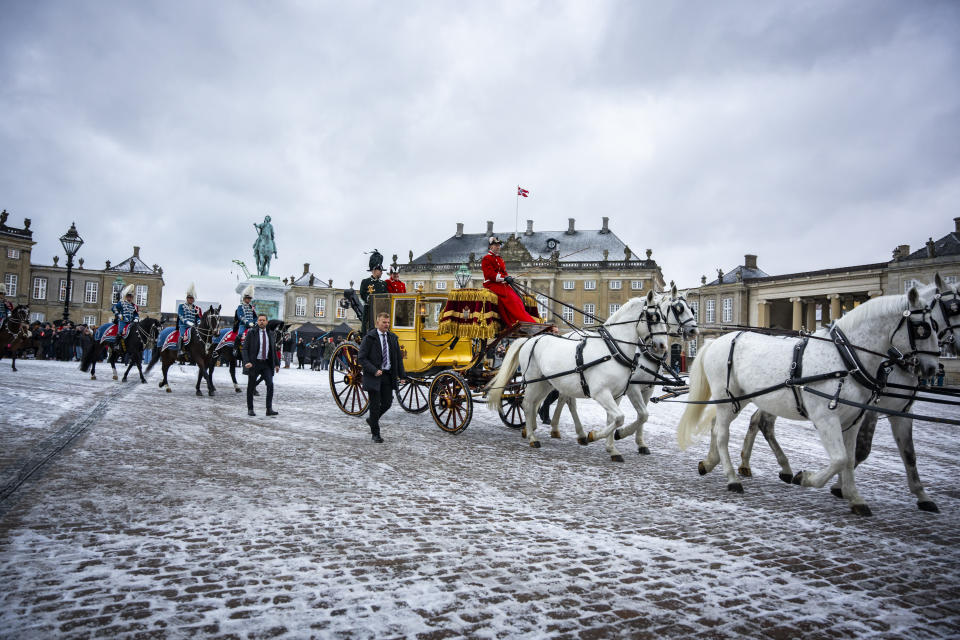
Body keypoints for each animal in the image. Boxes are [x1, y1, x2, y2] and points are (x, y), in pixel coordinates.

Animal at [488, 292, 668, 458]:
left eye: (665, 317)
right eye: (653, 317)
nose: (662, 346)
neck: (613, 351)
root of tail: (530, 339)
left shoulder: (617, 394)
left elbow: (615, 419)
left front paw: (612, 449)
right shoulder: (602, 392)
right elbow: (619, 418)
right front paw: (594, 435)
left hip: (546, 382)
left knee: (535, 403)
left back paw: (533, 430)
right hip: (533, 381)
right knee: (526, 404)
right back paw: (533, 437)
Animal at [540, 286, 696, 460]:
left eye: (692, 309)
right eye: (679, 309)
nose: (693, 330)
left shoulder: (646, 388)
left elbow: (642, 415)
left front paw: (637, 443)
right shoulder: (632, 387)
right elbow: (641, 414)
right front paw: (620, 434)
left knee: (564, 398)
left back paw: (561, 429)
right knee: (566, 399)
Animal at [680, 288, 940, 516]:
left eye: (935, 326)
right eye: (924, 329)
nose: (932, 369)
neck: (845, 358)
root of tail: (716, 341)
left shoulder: (854, 420)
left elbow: (849, 458)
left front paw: (854, 497)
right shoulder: (826, 418)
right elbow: (840, 459)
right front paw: (805, 478)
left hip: (738, 399)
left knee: (717, 428)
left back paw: (710, 462)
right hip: (727, 399)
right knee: (723, 435)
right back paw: (733, 478)